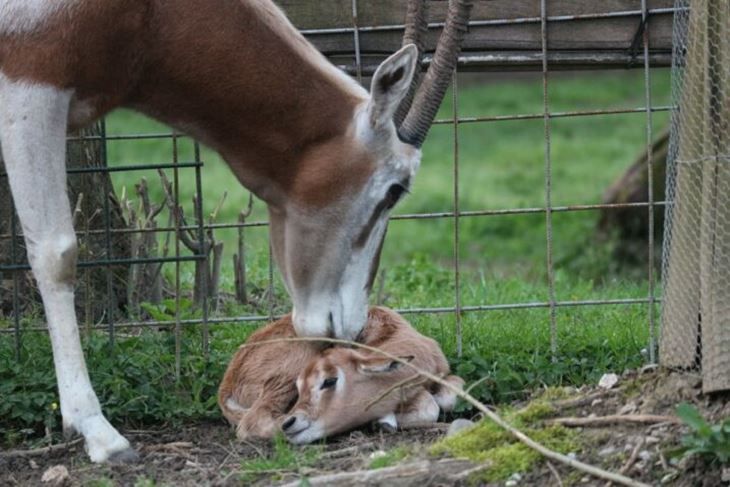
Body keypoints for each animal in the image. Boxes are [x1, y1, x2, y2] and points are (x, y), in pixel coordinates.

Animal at [219, 306, 464, 444]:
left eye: (329, 381)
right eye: (299, 387)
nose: (291, 422)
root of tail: (226, 385)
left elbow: (449, 396)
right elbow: (430, 407)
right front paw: (382, 421)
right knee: (252, 421)